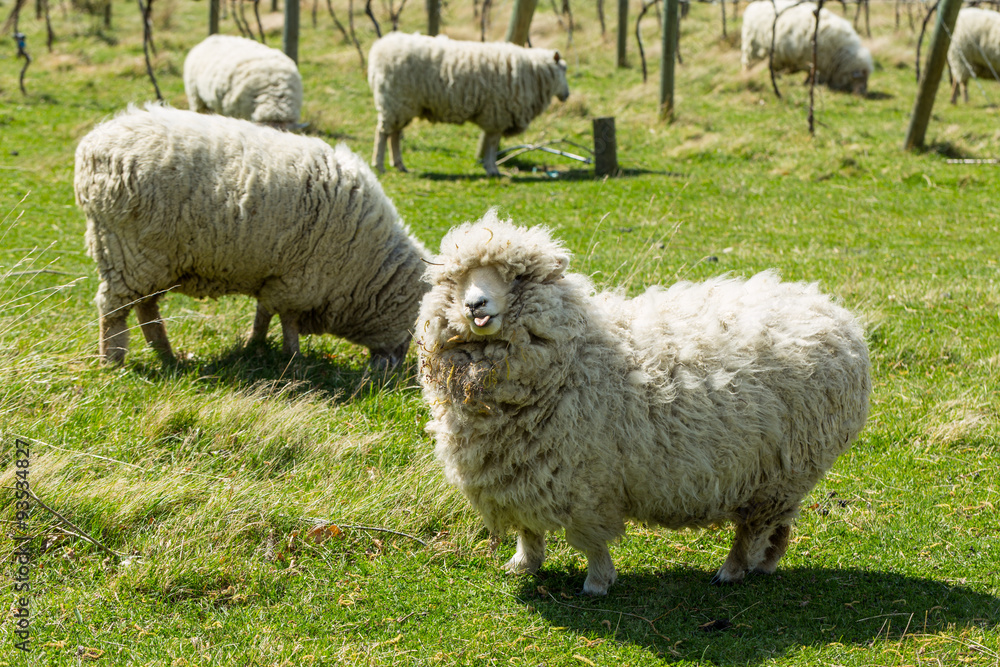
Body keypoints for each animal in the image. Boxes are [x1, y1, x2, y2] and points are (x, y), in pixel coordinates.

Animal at [75, 104, 430, 368]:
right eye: (415, 323)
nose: (392, 370)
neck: (365, 263)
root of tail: (91, 148)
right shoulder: (300, 280)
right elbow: (286, 320)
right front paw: (292, 358)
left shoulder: (276, 277)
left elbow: (264, 312)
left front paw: (254, 345)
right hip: (127, 251)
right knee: (113, 308)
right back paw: (113, 359)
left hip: (152, 261)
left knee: (145, 308)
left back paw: (167, 354)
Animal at [367, 32, 570, 177]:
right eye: (564, 69)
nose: (567, 95)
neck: (534, 74)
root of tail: (379, 49)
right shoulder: (498, 114)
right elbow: (492, 144)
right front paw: (492, 169)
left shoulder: (494, 115)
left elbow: (489, 142)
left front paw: (489, 167)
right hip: (394, 101)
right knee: (382, 132)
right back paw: (379, 165)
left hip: (402, 105)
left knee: (394, 134)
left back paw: (399, 165)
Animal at [416, 210, 871, 595]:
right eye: (456, 281)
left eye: (516, 278)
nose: (475, 305)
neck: (576, 355)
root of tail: (838, 316)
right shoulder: (522, 475)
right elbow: (529, 530)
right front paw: (523, 564)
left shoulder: (586, 484)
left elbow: (590, 541)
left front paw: (597, 583)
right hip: (783, 478)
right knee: (779, 526)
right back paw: (767, 564)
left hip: (779, 474)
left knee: (753, 528)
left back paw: (732, 570)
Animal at [741, 0, 873, 95]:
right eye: (860, 77)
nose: (862, 93)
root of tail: (753, 6)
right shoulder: (816, 62)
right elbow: (811, 75)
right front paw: (808, 84)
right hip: (750, 48)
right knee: (748, 64)